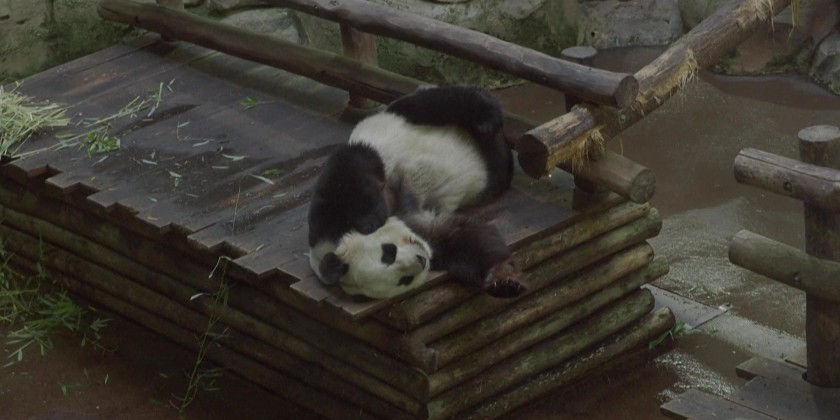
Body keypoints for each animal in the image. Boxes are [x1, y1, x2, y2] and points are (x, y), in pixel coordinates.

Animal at [307, 85, 526, 299]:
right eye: (404, 280)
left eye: (388, 253)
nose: (421, 260)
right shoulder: (425, 233)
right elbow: (463, 240)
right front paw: (503, 282)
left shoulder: (326, 218)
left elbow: (347, 173)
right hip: (491, 178)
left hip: (397, 119)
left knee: (437, 103)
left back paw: (487, 117)